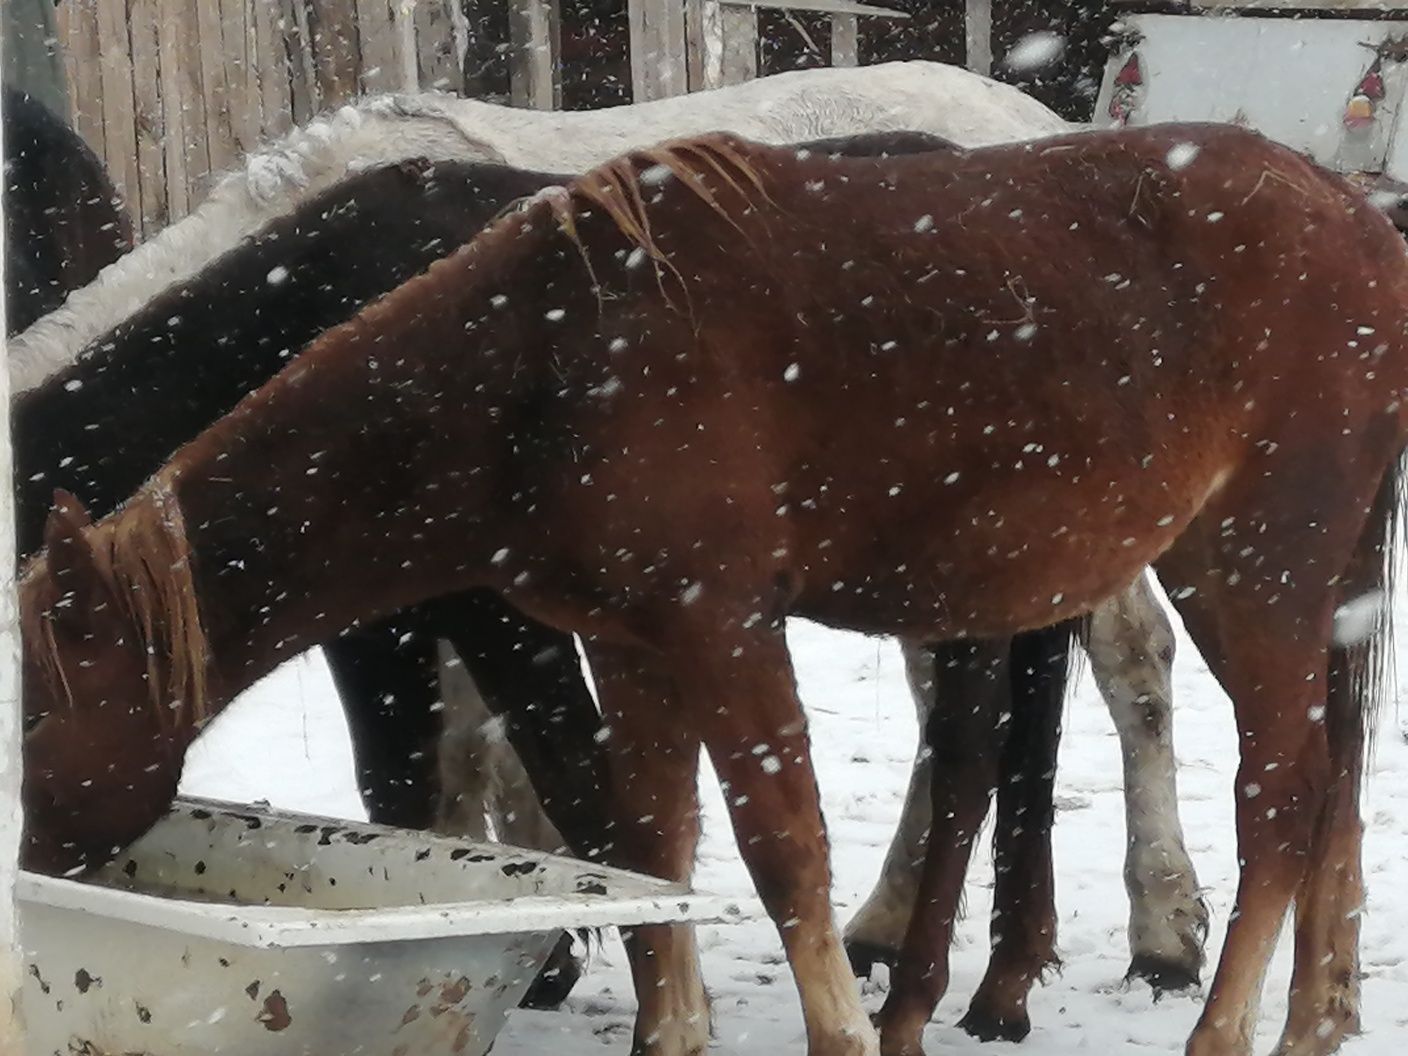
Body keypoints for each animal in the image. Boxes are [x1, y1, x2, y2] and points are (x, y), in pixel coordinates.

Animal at [19, 126, 1408, 1056]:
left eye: (36, 708)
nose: (32, 872)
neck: (549, 363)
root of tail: (1357, 217)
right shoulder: (631, 643)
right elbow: (647, 846)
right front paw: (665, 1027)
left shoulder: (717, 625)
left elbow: (778, 847)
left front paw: (836, 1030)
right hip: (1312, 589)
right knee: (1329, 781)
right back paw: (1310, 1016)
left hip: (1249, 575)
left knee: (1279, 797)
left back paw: (1217, 1024)